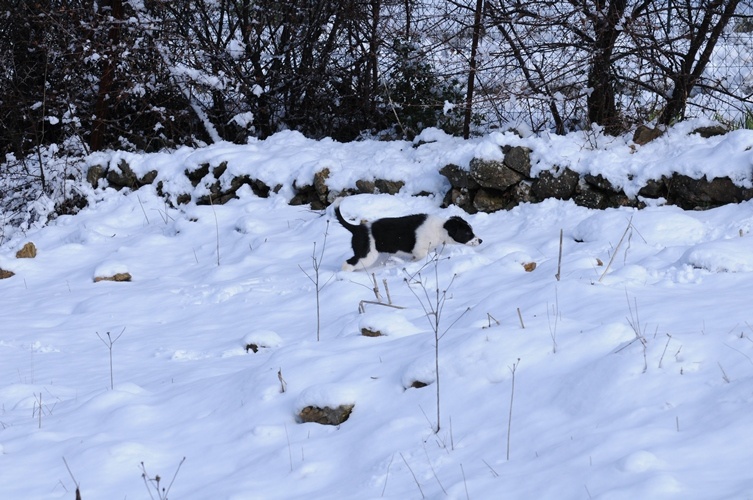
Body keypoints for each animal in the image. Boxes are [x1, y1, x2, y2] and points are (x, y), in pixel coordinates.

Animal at [334, 199, 482, 272]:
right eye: (467, 233)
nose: (480, 240)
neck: (441, 228)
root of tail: (356, 228)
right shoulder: (419, 250)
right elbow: (421, 257)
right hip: (367, 255)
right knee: (348, 264)